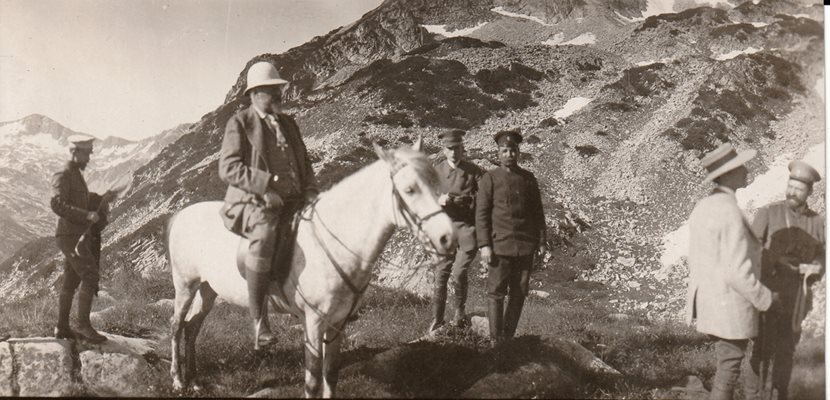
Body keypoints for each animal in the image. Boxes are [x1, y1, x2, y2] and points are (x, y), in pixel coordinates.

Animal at [167, 140, 456, 396]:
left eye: (437, 184)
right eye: (409, 190)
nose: (447, 238)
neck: (336, 241)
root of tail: (181, 215)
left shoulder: (337, 322)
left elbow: (331, 374)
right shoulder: (314, 323)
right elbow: (313, 381)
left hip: (207, 290)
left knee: (192, 328)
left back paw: (195, 381)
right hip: (185, 286)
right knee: (177, 326)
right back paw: (178, 381)